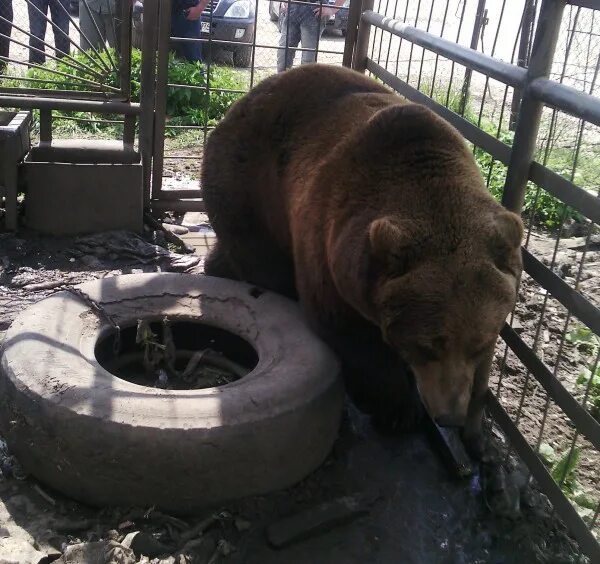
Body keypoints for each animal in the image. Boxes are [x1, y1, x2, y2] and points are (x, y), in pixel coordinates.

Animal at [200, 62, 520, 450]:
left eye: (478, 345)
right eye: (426, 346)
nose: (450, 416)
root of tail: (241, 101)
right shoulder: (330, 241)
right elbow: (347, 330)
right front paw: (399, 408)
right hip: (251, 185)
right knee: (264, 262)